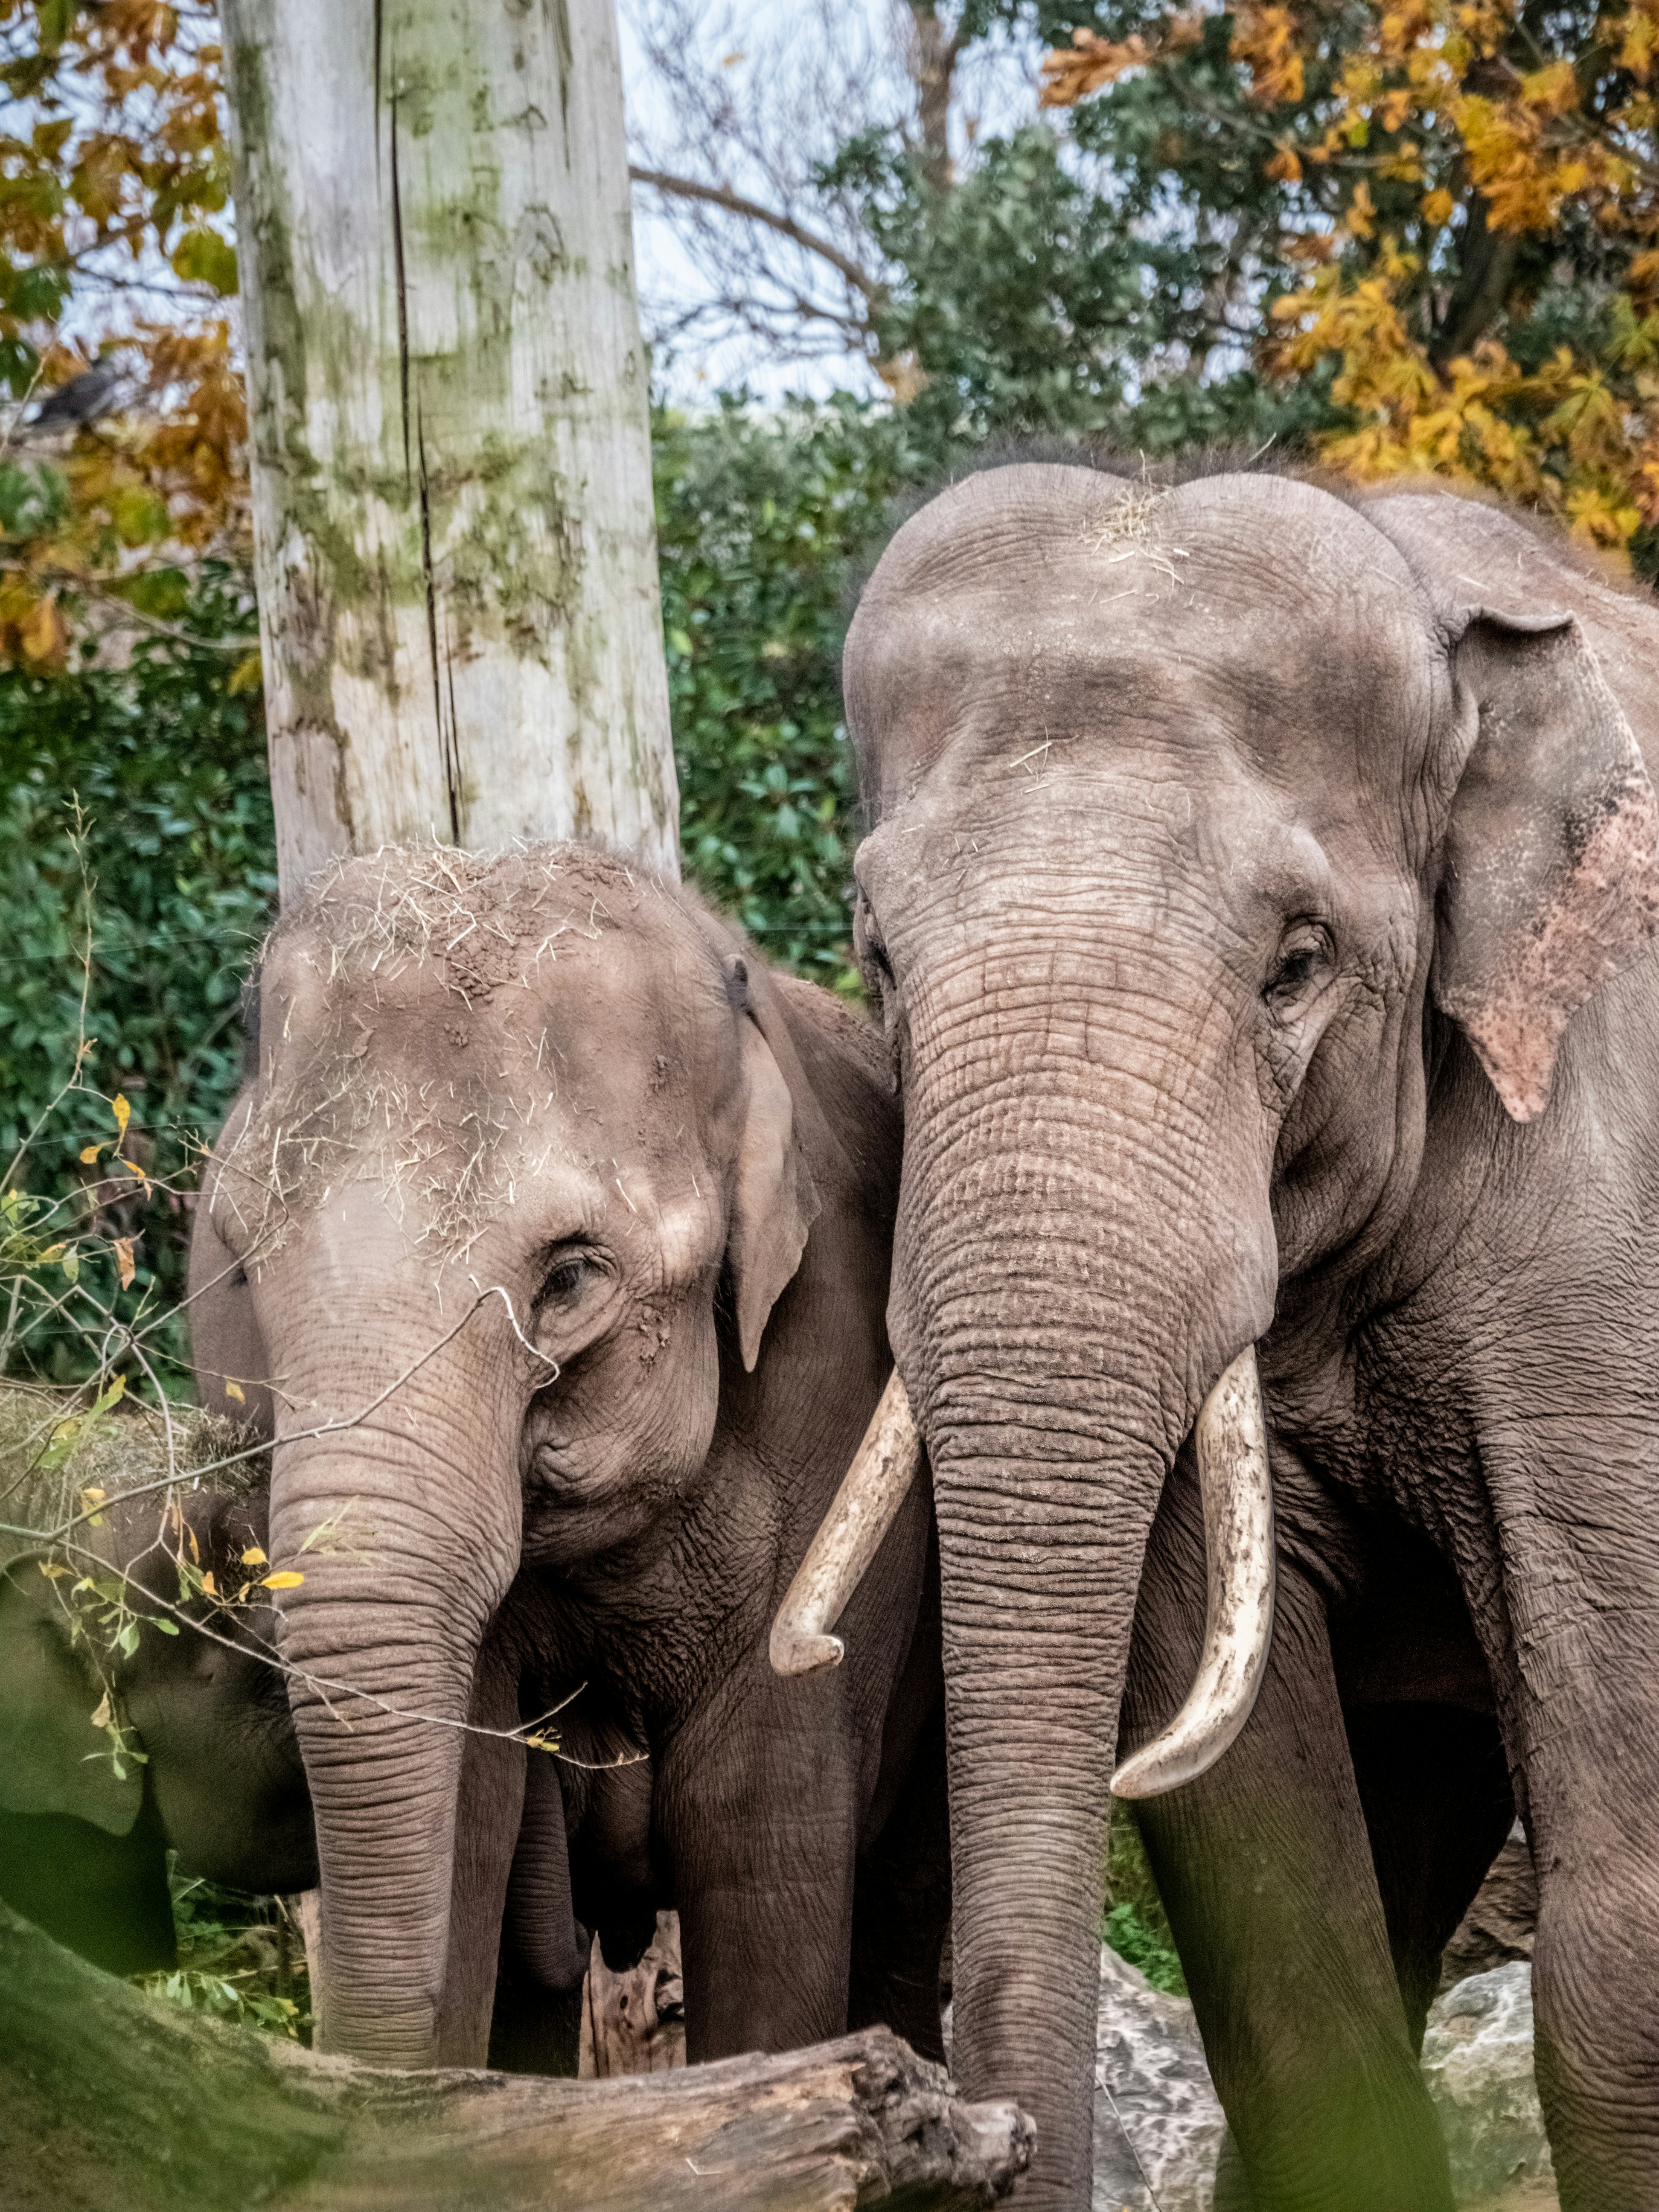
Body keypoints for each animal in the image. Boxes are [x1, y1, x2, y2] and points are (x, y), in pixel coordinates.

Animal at [783, 458, 1659, 2203]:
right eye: (875, 954)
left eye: (1296, 964)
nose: (983, 2137)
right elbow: (1280, 1919)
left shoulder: (1605, 1248)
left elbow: (1621, 1951)